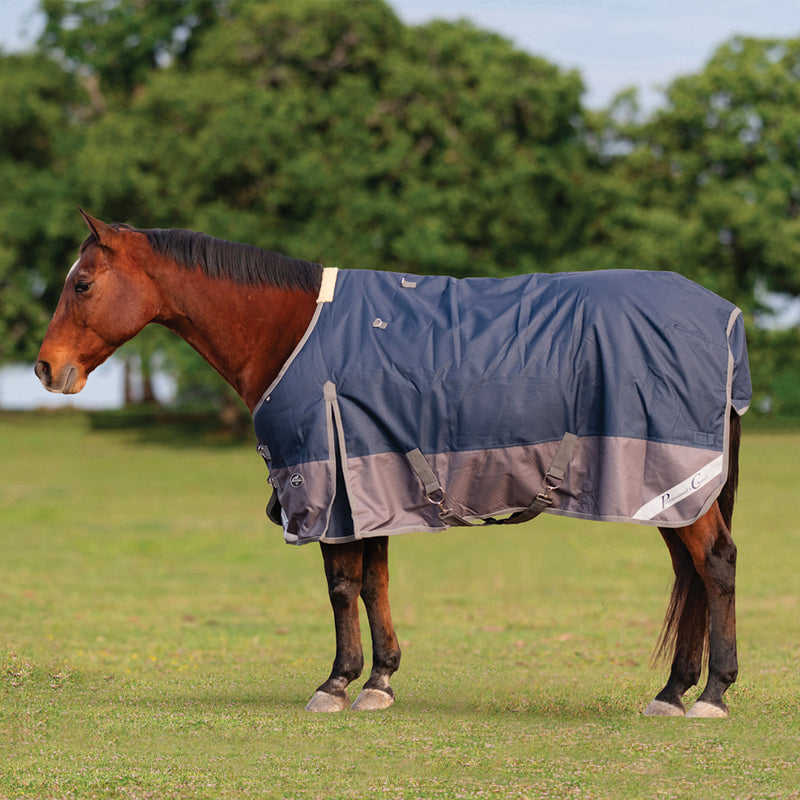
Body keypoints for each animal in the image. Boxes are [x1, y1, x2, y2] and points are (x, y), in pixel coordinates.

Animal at [36, 209, 750, 718]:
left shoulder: (326, 483)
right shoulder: (369, 479)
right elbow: (374, 580)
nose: (46, 368)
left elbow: (341, 584)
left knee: (714, 564)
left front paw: (335, 683)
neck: (292, 331)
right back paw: (672, 692)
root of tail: (722, 317)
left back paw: (712, 694)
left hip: (672, 480)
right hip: (668, 491)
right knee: (689, 572)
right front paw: (379, 681)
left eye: (82, 283)